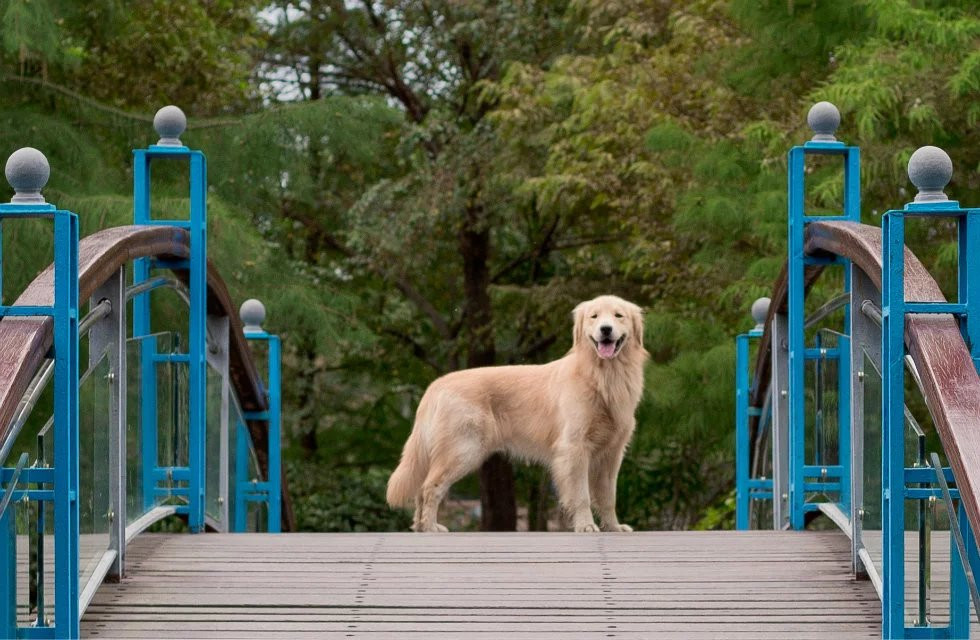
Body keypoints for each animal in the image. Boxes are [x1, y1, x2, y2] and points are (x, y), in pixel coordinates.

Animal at [386, 298, 648, 532]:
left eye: (618, 316)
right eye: (594, 316)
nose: (606, 330)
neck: (602, 376)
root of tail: (437, 385)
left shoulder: (611, 454)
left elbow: (608, 498)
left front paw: (613, 527)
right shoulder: (574, 449)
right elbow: (581, 495)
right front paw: (585, 526)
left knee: (421, 490)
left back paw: (421, 527)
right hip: (463, 450)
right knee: (429, 488)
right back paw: (430, 527)